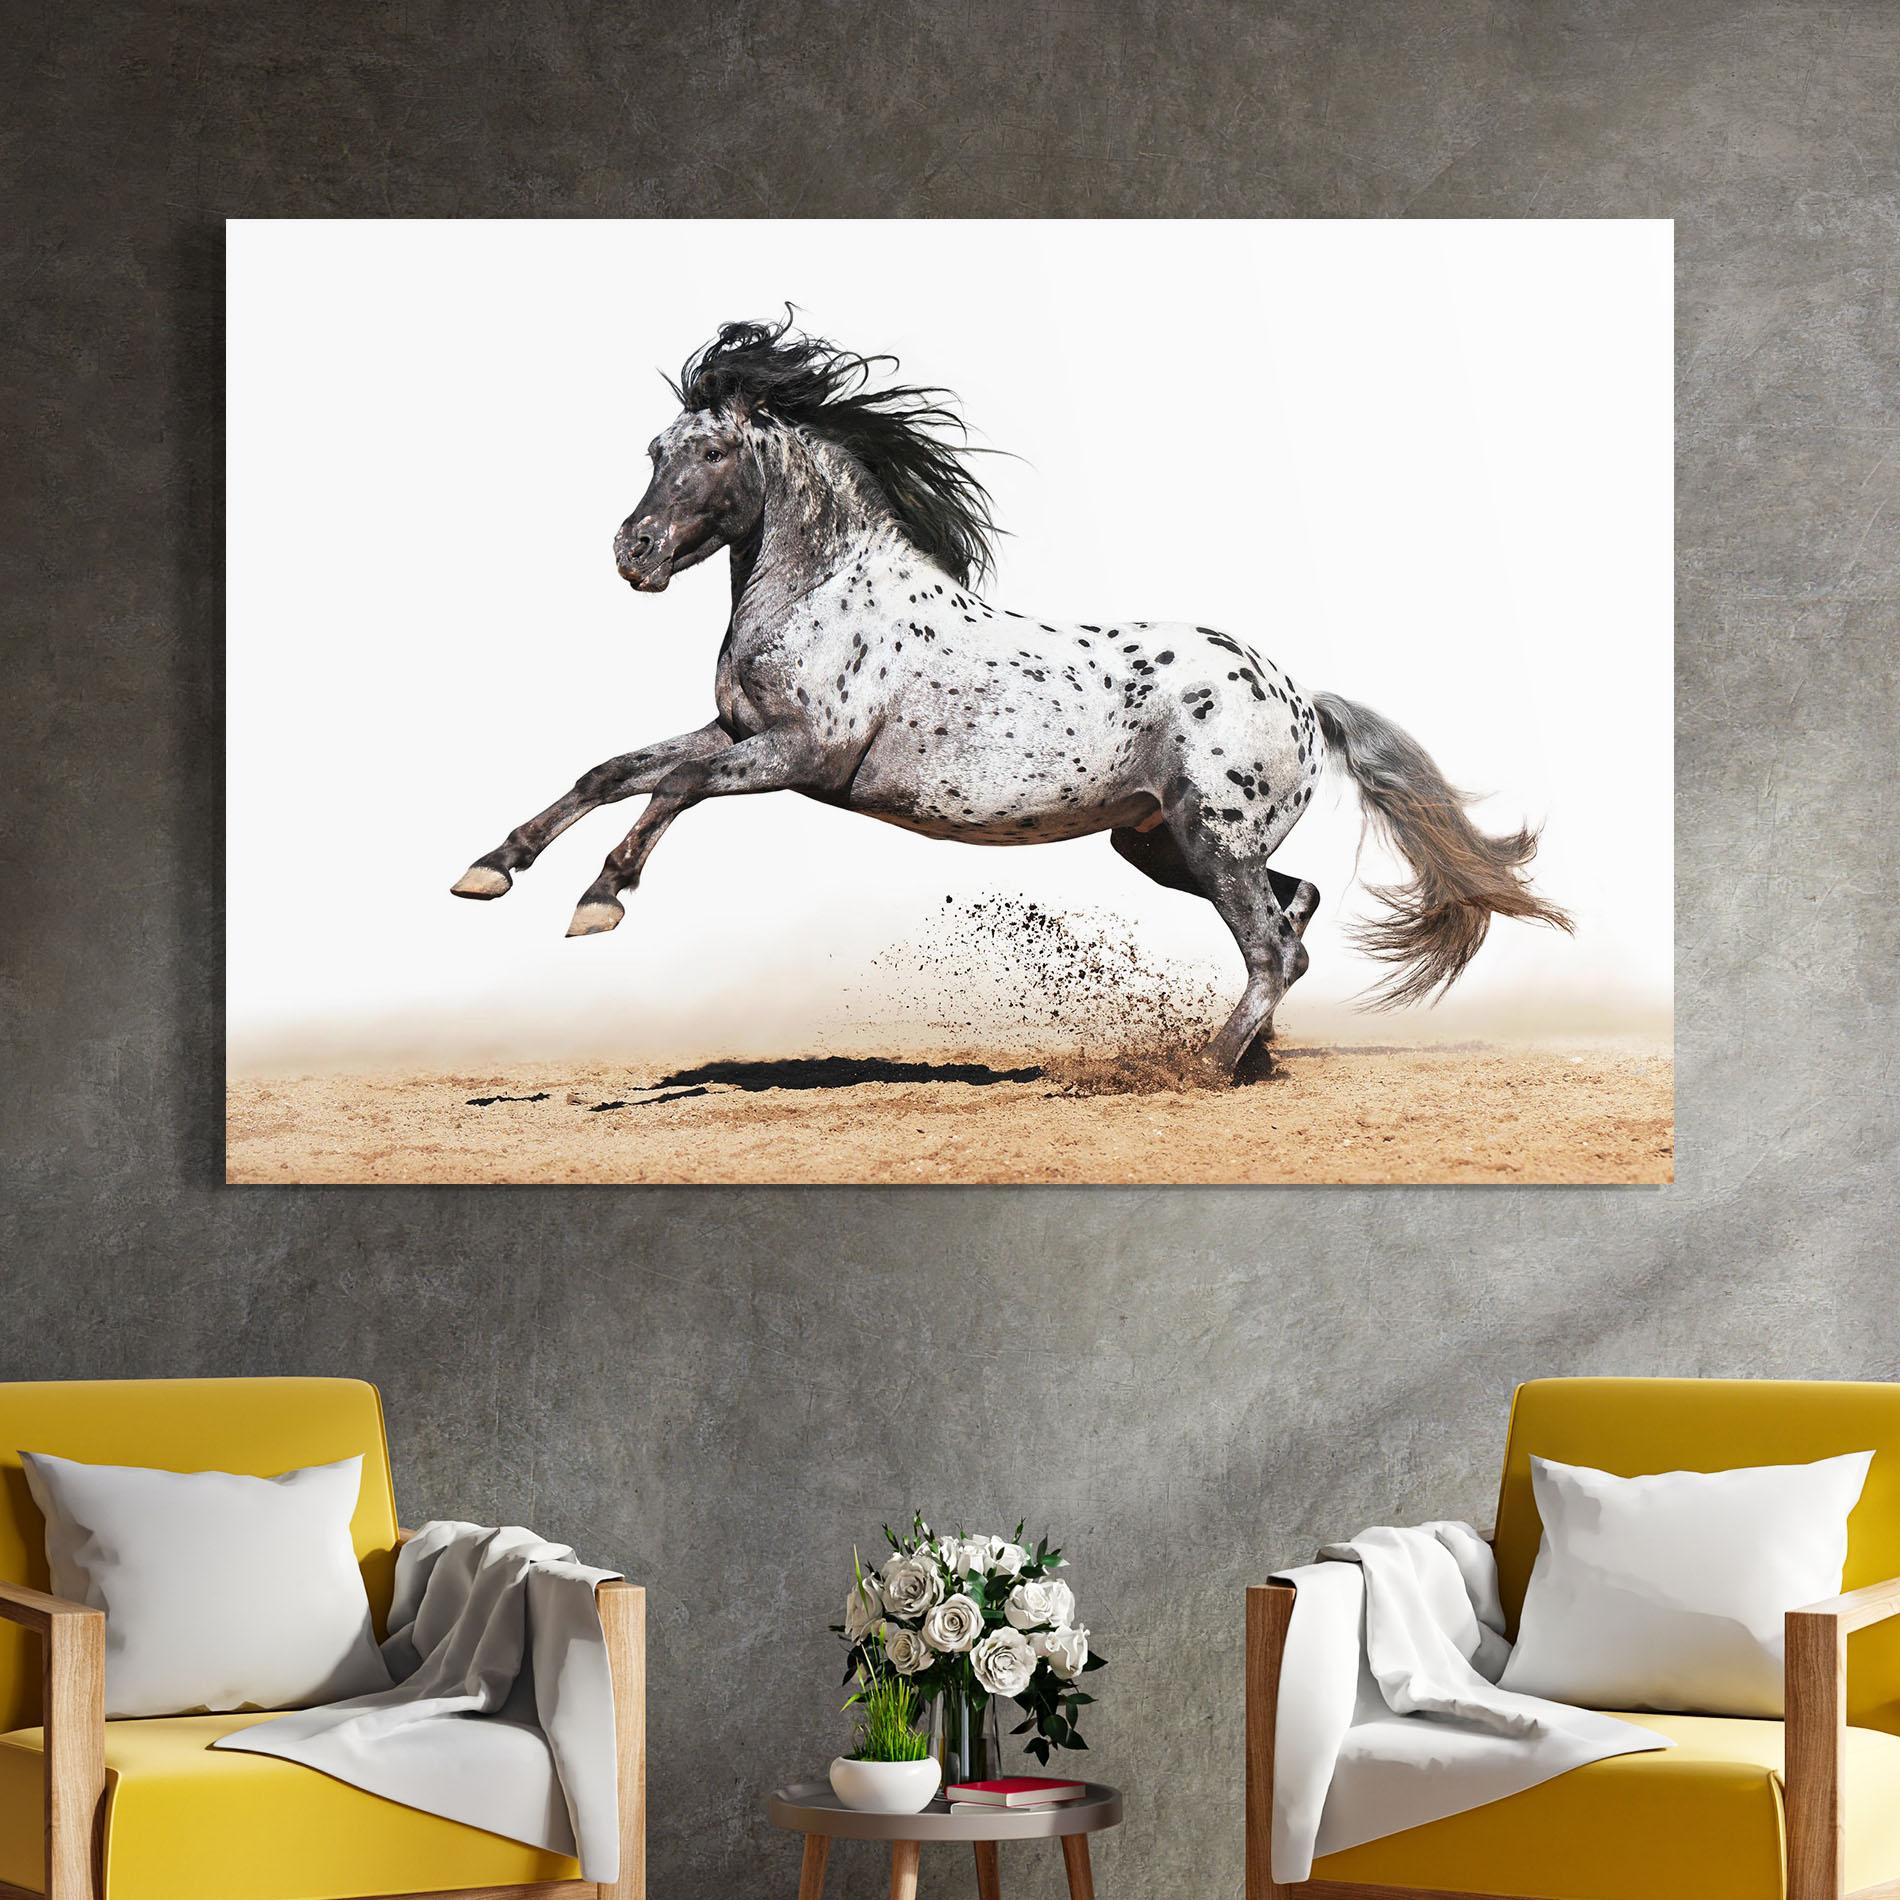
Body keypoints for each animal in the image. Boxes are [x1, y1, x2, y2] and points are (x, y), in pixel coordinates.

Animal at [452, 316, 1571, 1079]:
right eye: (654, 453)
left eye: (715, 452)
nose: (633, 555)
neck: (824, 591)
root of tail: (1300, 695)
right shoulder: (739, 732)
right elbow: (619, 771)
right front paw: (494, 872)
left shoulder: (796, 757)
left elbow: (672, 786)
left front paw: (597, 901)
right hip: (1158, 842)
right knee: (1292, 915)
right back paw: (1252, 1058)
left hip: (1209, 839)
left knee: (1270, 945)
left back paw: (1202, 1070)